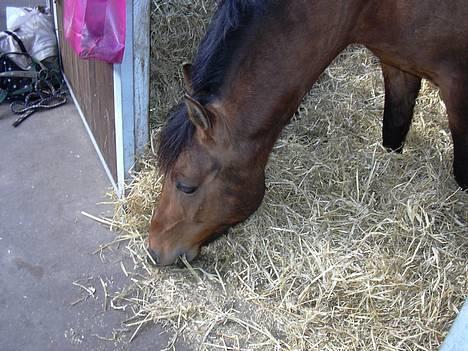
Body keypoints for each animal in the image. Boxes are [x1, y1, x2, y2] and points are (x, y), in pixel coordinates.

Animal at [148, 0, 468, 266]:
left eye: (186, 186)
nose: (154, 250)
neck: (368, 7)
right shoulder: (397, 64)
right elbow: (393, 134)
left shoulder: (458, 88)